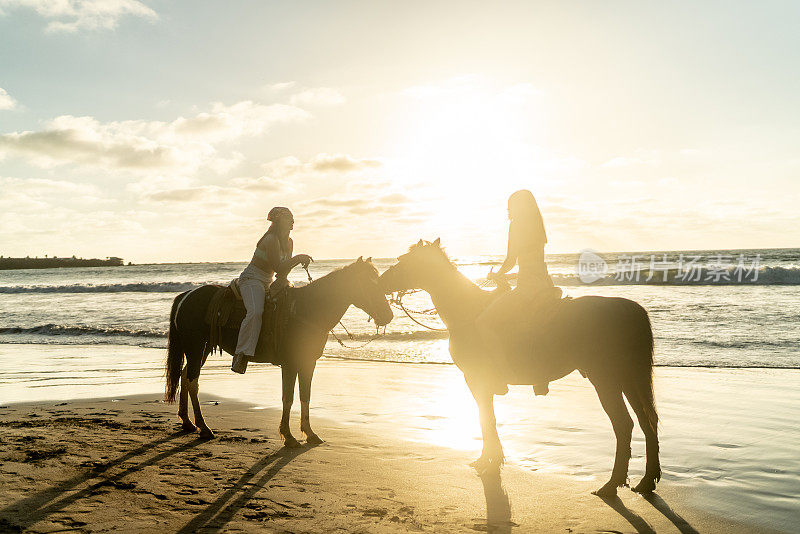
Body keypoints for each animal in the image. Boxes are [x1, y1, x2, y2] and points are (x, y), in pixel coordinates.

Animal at [165, 258, 394, 448]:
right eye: (369, 283)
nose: (388, 316)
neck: (307, 309)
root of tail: (186, 296)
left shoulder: (308, 362)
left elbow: (305, 395)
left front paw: (310, 433)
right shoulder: (290, 364)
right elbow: (288, 398)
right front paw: (289, 436)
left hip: (201, 349)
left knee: (186, 376)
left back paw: (187, 422)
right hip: (195, 347)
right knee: (193, 381)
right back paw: (203, 427)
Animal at [378, 241, 660, 500]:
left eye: (403, 261)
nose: (380, 281)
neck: (467, 309)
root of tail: (629, 309)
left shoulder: (476, 380)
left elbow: (486, 419)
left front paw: (490, 461)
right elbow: (487, 419)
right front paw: (490, 459)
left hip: (606, 379)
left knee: (624, 425)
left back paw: (611, 484)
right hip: (630, 378)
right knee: (647, 421)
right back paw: (646, 481)